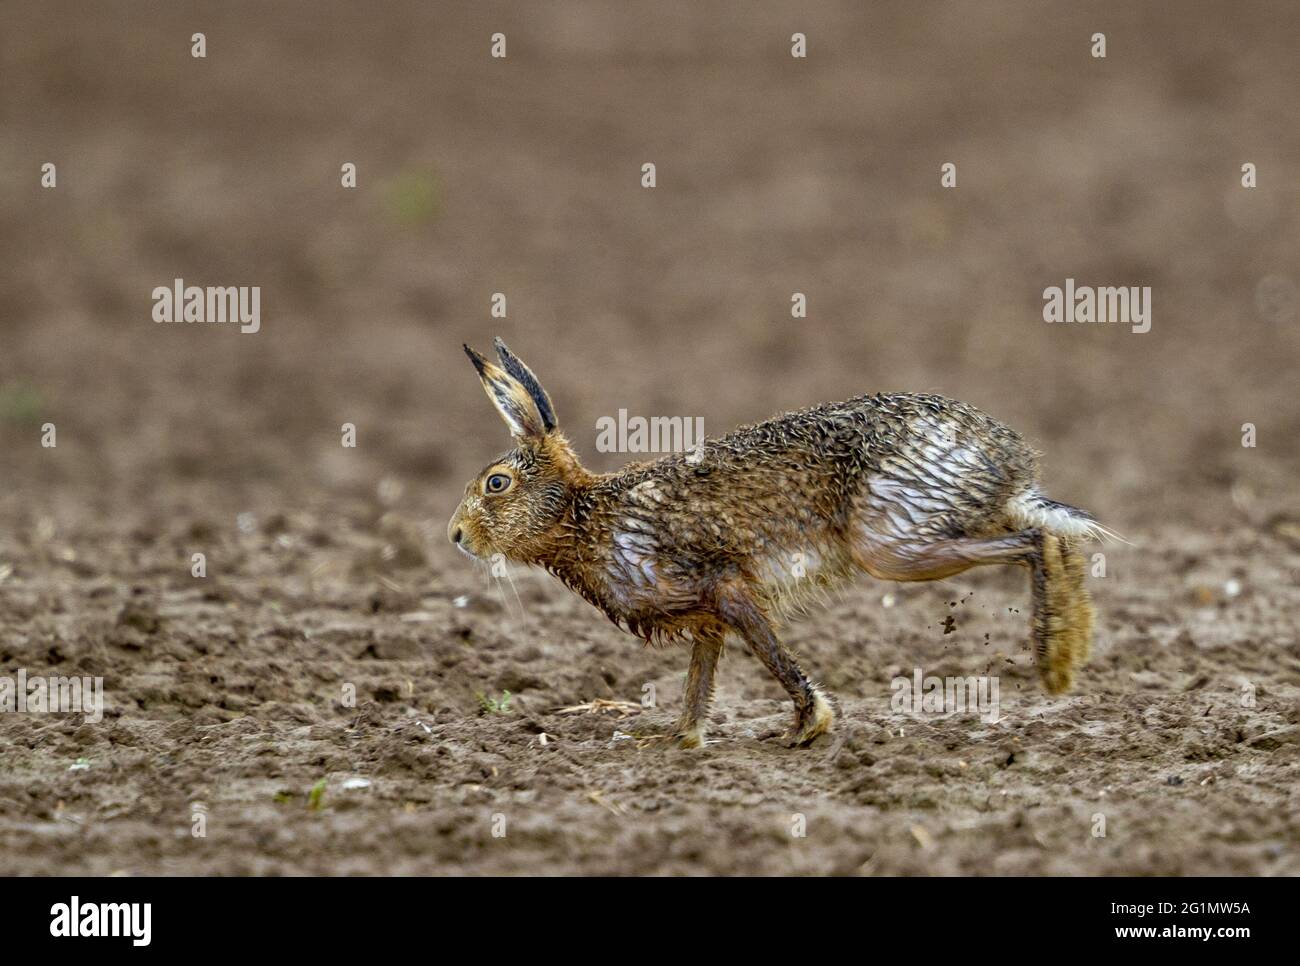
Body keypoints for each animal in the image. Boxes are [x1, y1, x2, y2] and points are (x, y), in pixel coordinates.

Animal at [449, 338, 1108, 749]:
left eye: (496, 484)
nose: (456, 536)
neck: (582, 514)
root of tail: (1005, 462)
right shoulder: (706, 618)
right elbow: (699, 682)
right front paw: (675, 740)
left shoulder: (723, 589)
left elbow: (771, 656)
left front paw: (808, 729)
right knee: (1052, 538)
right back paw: (1068, 651)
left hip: (896, 545)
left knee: (1035, 540)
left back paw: (1055, 665)